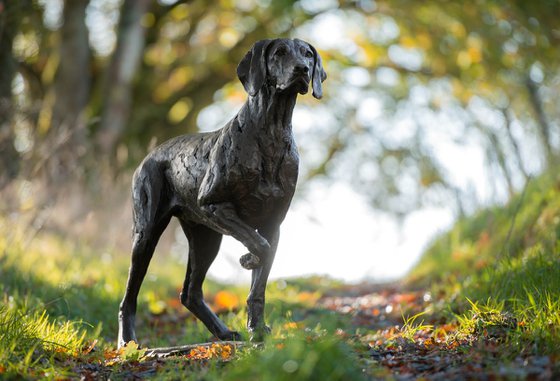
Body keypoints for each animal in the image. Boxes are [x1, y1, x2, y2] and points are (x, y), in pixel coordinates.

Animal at [119, 38, 328, 348]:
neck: (272, 133)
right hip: (146, 234)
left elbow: (260, 282)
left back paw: (224, 332)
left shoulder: (272, 224)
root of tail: (150, 154)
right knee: (130, 295)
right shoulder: (214, 206)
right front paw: (248, 259)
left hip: (205, 238)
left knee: (190, 293)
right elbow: (260, 247)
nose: (302, 69)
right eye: (279, 52)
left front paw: (257, 329)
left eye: (308, 54)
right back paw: (127, 342)